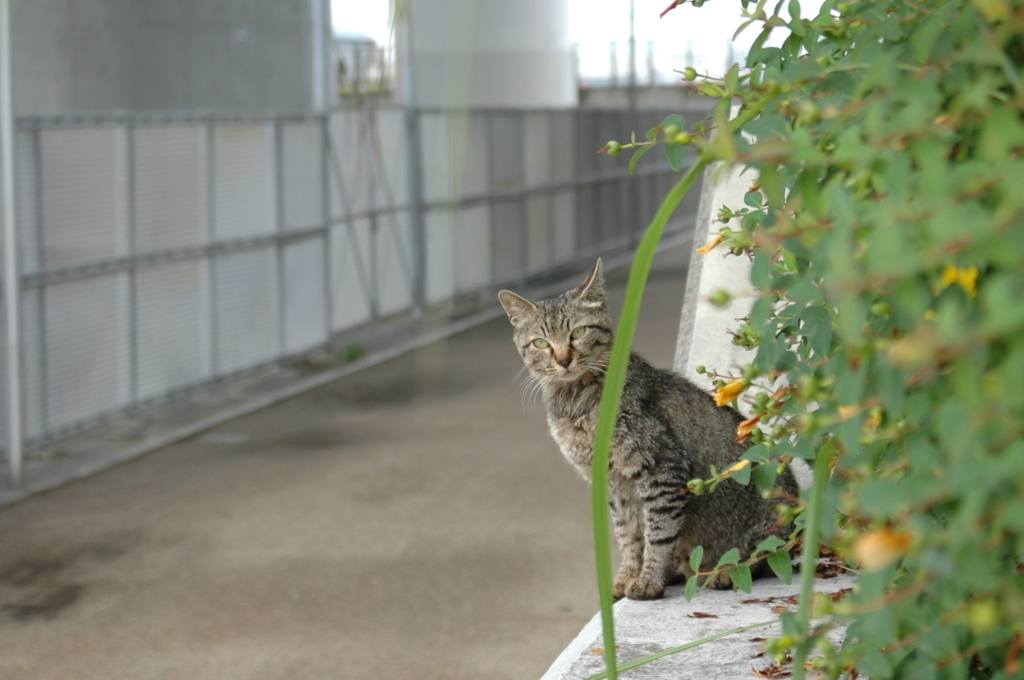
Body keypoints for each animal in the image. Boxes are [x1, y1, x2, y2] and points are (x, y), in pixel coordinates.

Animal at [499, 259, 794, 602]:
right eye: (541, 342)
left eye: (578, 332)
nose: (563, 359)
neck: (575, 403)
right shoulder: (614, 485)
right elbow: (628, 535)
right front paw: (628, 575)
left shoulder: (663, 469)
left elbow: (659, 532)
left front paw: (649, 578)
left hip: (772, 521)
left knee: (766, 556)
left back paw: (721, 572)